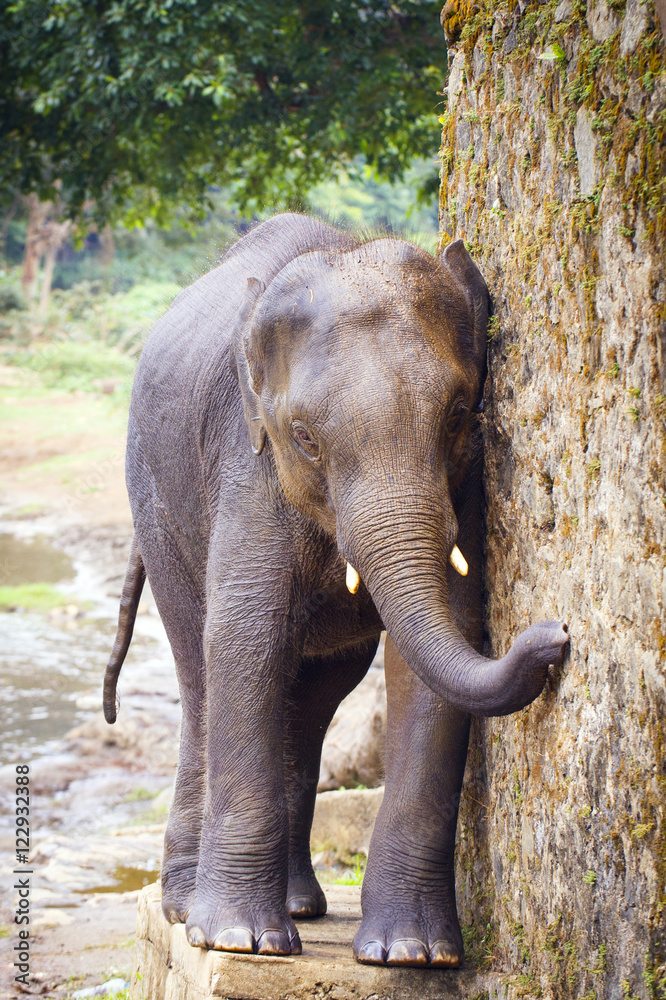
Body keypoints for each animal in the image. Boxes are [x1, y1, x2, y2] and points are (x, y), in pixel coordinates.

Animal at [103, 213, 569, 968]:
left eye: (459, 416)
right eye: (305, 439)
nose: (556, 635)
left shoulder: (466, 485)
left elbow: (438, 652)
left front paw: (411, 954)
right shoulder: (246, 462)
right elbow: (245, 639)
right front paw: (241, 942)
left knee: (315, 696)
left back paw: (298, 905)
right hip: (155, 502)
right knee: (200, 670)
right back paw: (188, 908)